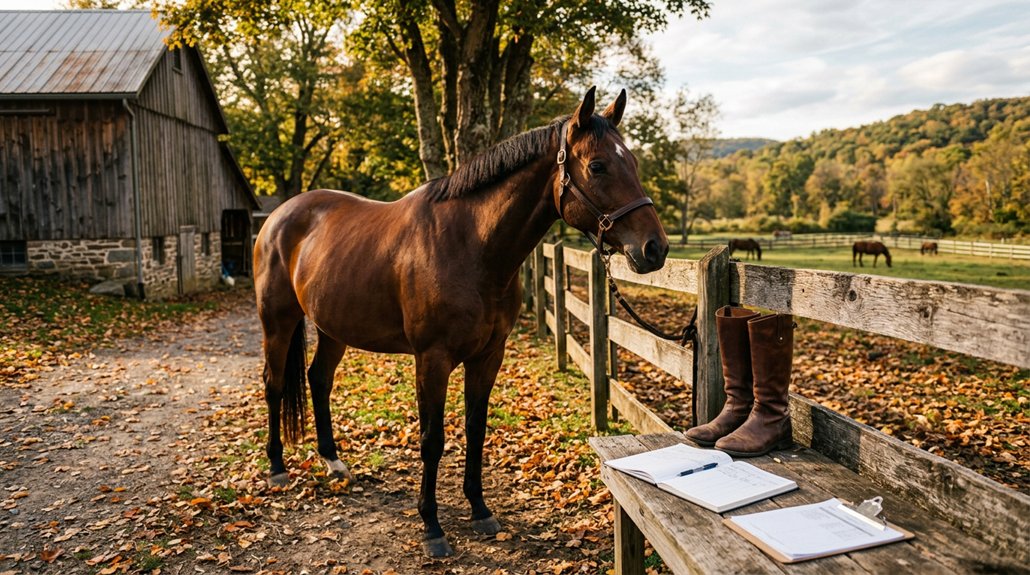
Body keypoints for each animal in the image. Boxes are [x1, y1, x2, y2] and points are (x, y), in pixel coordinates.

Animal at [252, 88, 668, 557]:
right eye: (597, 165)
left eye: (633, 162)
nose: (655, 248)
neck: (470, 245)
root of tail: (280, 217)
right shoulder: (432, 360)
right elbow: (432, 440)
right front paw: (432, 526)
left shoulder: (488, 356)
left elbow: (475, 428)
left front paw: (480, 510)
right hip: (278, 321)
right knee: (273, 384)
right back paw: (276, 467)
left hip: (332, 328)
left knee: (319, 379)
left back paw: (333, 462)